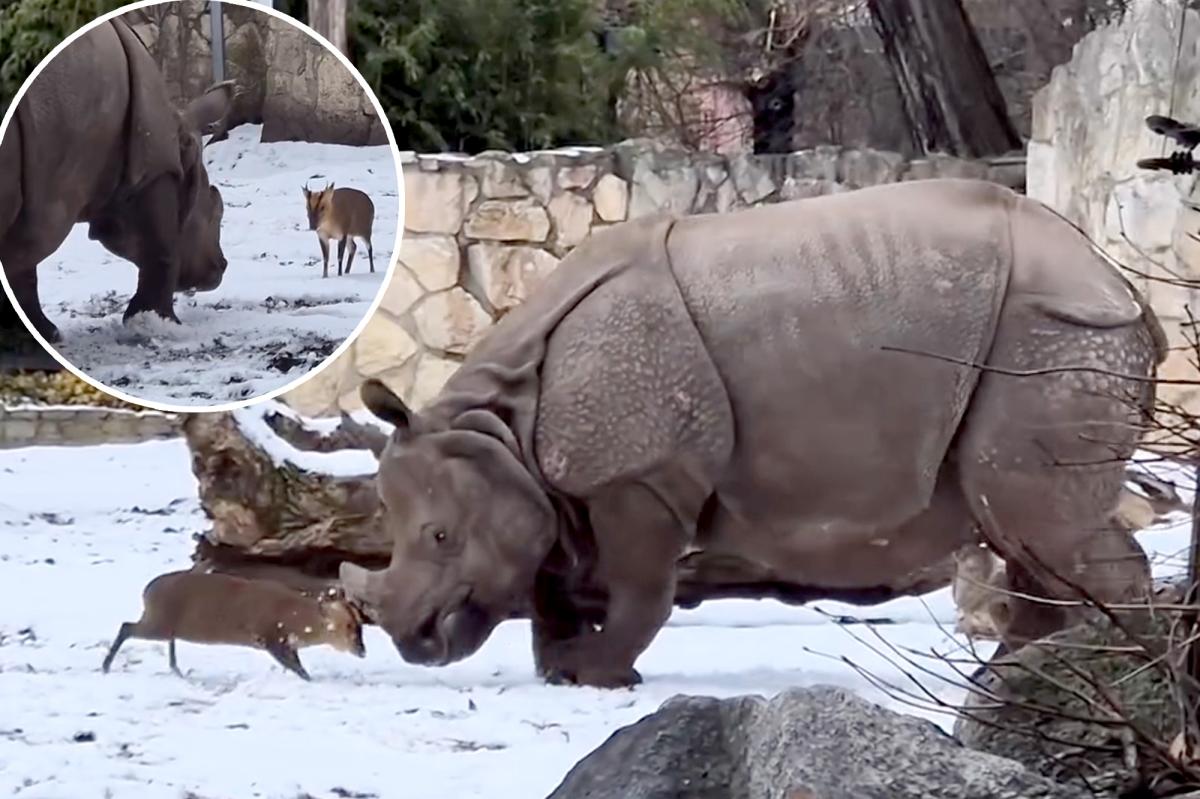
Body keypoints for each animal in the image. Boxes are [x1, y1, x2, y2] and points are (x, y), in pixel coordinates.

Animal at [0, 17, 230, 342]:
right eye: (213, 208)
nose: (221, 267)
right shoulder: (153, 170)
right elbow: (163, 249)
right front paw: (159, 324)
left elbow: (22, 270)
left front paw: (42, 332)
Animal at [100, 569, 367, 681]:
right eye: (348, 626)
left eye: (359, 625)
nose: (362, 651)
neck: (296, 621)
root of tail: (146, 591)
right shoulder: (269, 636)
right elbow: (298, 669)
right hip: (157, 621)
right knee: (126, 626)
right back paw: (105, 667)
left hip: (163, 623)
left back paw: (177, 670)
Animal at [342, 178, 1166, 688]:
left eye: (441, 537)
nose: (414, 640)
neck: (499, 423)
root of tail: (1119, 281)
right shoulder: (562, 482)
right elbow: (552, 577)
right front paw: (559, 667)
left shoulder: (639, 472)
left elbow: (640, 586)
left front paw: (596, 674)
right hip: (1050, 335)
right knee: (1024, 530)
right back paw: (1016, 681)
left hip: (1054, 334)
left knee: (1038, 522)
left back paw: (1095, 677)